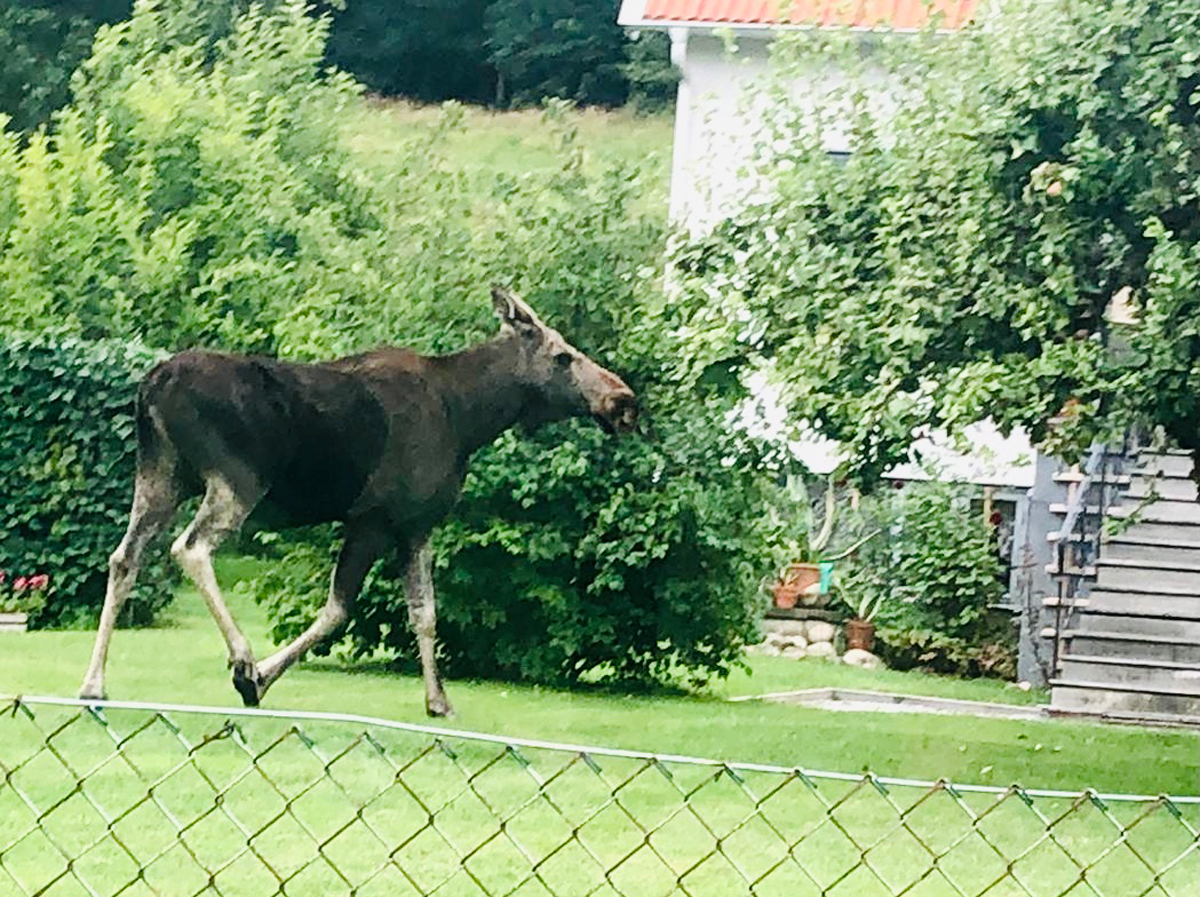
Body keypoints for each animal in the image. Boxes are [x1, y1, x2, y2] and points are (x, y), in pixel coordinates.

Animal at [78, 286, 638, 716]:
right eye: (563, 356)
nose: (622, 401)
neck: (470, 417)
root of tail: (151, 386)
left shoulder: (414, 526)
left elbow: (424, 613)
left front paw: (438, 701)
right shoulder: (379, 518)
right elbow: (340, 609)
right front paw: (258, 678)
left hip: (161, 476)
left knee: (124, 557)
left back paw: (94, 683)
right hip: (235, 479)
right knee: (190, 549)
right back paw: (241, 657)